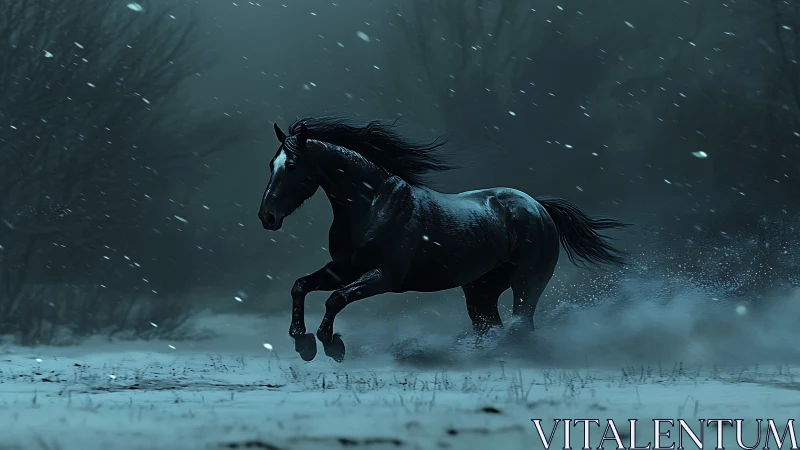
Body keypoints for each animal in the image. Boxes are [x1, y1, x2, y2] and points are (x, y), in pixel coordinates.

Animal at [258, 116, 629, 362]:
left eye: (293, 165)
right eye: (271, 164)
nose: (267, 217)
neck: (372, 204)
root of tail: (539, 207)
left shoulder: (384, 277)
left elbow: (336, 299)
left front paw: (330, 344)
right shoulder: (343, 268)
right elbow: (301, 286)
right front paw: (302, 342)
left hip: (528, 283)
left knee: (521, 327)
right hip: (481, 292)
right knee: (493, 328)